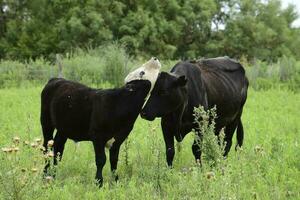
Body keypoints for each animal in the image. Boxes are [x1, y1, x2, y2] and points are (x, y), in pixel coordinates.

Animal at [41, 57, 161, 186]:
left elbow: (114, 160)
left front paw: (116, 181)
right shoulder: (97, 136)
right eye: (142, 72)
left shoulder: (119, 138)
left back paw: (53, 174)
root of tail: (56, 79)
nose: (154, 58)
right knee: (46, 147)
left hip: (64, 127)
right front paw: (99, 182)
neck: (120, 103)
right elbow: (101, 160)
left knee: (58, 148)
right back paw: (45, 175)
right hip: (46, 122)